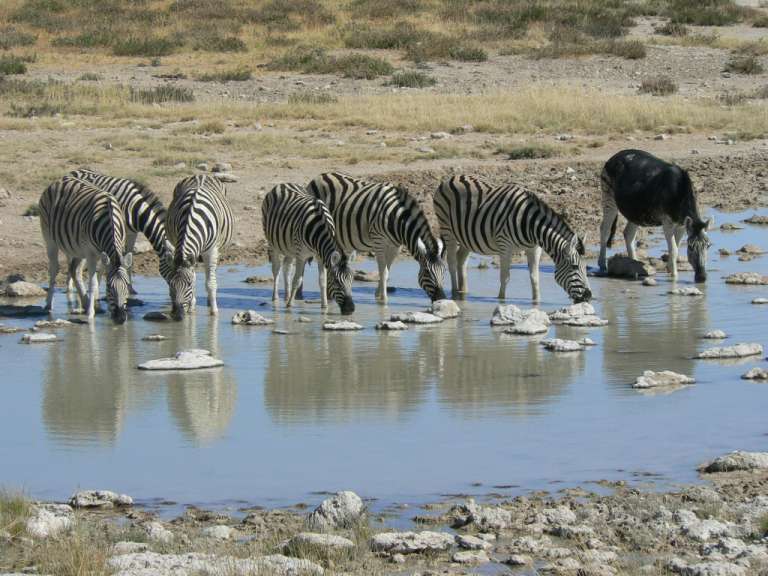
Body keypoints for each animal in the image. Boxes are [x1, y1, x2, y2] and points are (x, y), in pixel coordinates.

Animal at [39, 176, 133, 323]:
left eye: (127, 287)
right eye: (109, 288)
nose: (121, 318)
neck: (110, 220)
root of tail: (60, 180)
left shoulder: (111, 251)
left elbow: (100, 274)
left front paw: (98, 307)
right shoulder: (91, 253)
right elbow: (93, 283)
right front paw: (90, 314)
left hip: (77, 248)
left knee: (74, 270)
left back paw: (85, 302)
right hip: (49, 237)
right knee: (54, 269)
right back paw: (49, 304)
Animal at [166, 174, 233, 320]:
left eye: (188, 284)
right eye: (171, 284)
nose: (177, 315)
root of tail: (201, 175)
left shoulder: (212, 251)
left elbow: (210, 283)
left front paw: (214, 312)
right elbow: (195, 278)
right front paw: (192, 308)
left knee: (211, 275)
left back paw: (210, 301)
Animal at [261, 183, 355, 315]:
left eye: (352, 280)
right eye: (336, 281)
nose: (350, 309)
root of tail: (282, 184)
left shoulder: (321, 256)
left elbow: (322, 281)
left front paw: (324, 306)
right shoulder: (301, 256)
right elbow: (297, 280)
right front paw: (289, 305)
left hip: (289, 247)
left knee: (287, 267)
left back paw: (287, 296)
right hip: (273, 242)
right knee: (276, 269)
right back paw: (276, 298)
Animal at [303, 172, 446, 303]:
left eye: (444, 271)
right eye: (427, 272)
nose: (441, 299)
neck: (395, 217)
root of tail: (321, 175)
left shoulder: (395, 246)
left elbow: (387, 272)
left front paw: (378, 295)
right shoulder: (379, 242)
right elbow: (383, 272)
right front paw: (383, 300)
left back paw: (329, 295)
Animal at [434, 175, 592, 303]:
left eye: (586, 267)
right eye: (574, 267)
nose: (588, 296)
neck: (530, 225)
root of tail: (451, 178)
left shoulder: (535, 249)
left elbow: (535, 278)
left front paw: (537, 302)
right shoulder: (505, 246)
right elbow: (505, 277)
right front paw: (501, 300)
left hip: (466, 236)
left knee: (461, 259)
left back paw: (464, 291)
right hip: (447, 228)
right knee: (452, 261)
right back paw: (455, 293)